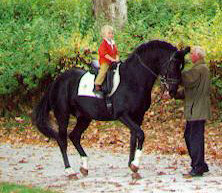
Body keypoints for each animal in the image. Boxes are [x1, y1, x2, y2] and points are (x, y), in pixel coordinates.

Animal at [32, 39, 190, 178]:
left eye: (181, 66)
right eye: (174, 64)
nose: (173, 90)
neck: (133, 79)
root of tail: (57, 81)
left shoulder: (138, 116)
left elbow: (134, 138)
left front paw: (132, 166)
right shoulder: (122, 115)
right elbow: (141, 134)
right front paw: (135, 165)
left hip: (84, 117)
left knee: (74, 136)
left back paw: (84, 167)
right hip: (62, 115)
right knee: (62, 139)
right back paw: (69, 171)